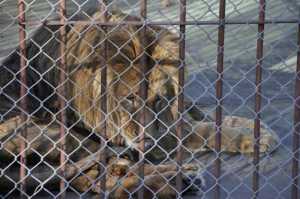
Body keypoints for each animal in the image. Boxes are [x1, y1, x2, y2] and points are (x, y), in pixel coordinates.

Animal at [0, 9, 278, 197]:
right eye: (130, 99)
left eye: (158, 100)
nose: (146, 139)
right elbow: (203, 129)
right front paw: (252, 137)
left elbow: (204, 115)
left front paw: (254, 127)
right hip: (52, 131)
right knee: (111, 174)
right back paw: (181, 178)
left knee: (105, 177)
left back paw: (184, 180)